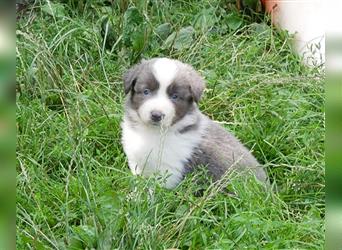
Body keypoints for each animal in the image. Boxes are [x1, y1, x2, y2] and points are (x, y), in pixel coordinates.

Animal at [120, 57, 268, 188]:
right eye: (146, 91)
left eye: (175, 96)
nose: (156, 115)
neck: (153, 132)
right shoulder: (136, 161)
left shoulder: (169, 169)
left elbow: (154, 190)